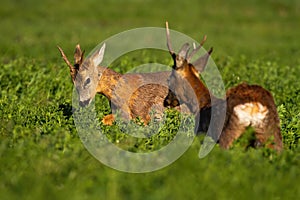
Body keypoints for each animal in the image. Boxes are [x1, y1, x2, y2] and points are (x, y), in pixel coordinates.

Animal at [164, 21, 284, 151]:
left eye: (169, 79)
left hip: (229, 133)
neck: (202, 104)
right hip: (275, 137)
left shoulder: (200, 131)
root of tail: (256, 108)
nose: (166, 101)